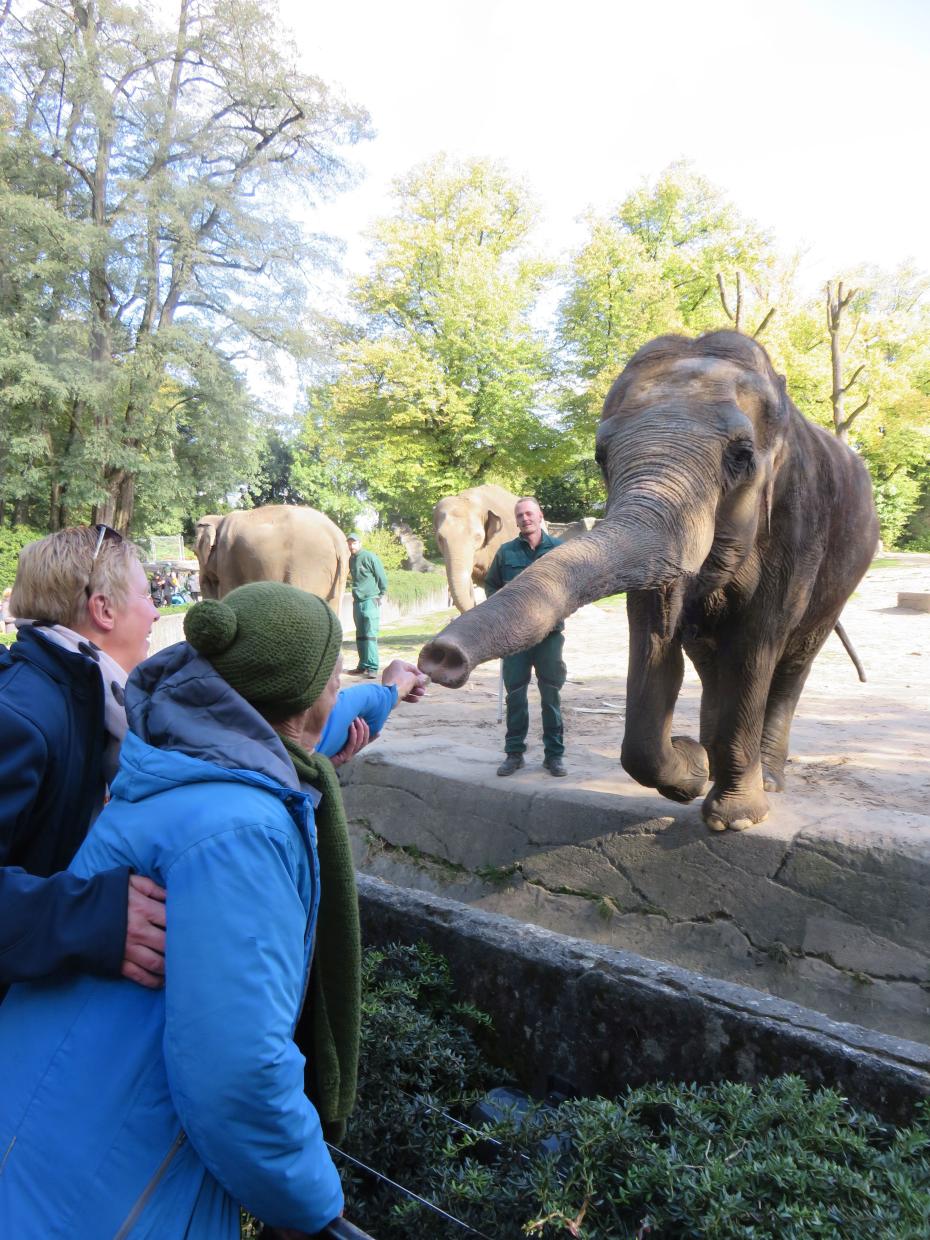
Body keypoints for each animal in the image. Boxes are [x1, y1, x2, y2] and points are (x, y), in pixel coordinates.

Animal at [421, 329, 882, 833]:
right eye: (601, 457)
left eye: (742, 456)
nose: (440, 656)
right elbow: (654, 640)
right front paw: (692, 771)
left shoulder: (796, 527)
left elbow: (753, 647)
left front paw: (734, 820)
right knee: (709, 659)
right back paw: (712, 761)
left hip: (841, 575)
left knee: (792, 661)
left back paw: (767, 781)